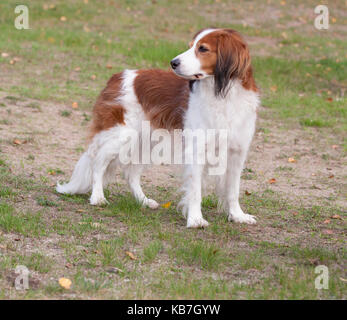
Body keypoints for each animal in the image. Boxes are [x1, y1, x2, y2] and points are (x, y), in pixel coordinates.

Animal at [56, 27, 260, 228]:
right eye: (190, 46)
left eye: (202, 49)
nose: (173, 63)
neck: (223, 95)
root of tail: (117, 76)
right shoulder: (197, 150)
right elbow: (195, 190)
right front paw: (195, 219)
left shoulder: (237, 152)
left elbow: (233, 189)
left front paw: (237, 215)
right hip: (121, 136)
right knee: (98, 163)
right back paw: (97, 197)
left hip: (146, 143)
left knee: (130, 173)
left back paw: (143, 201)